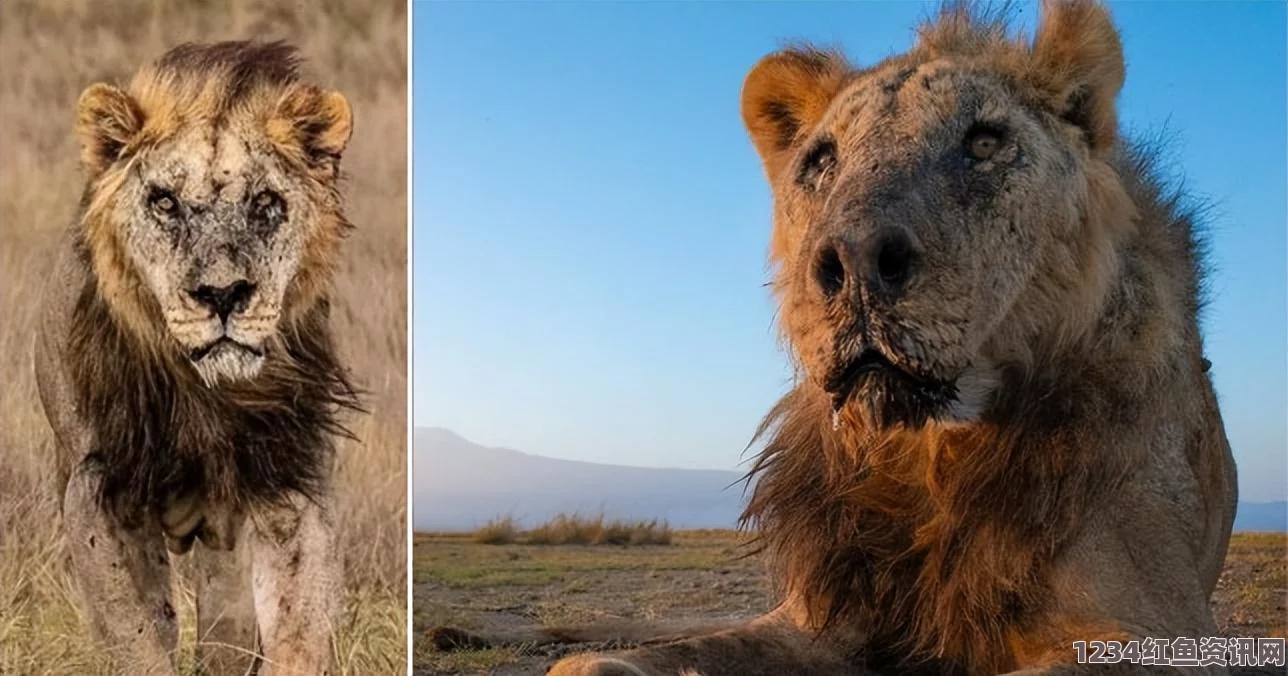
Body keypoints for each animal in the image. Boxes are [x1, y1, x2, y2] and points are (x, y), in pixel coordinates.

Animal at [37, 42, 360, 674]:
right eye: (164, 202)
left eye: (265, 204)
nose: (223, 293)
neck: (208, 398)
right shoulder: (98, 492)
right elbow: (137, 638)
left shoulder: (293, 484)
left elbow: (299, 628)